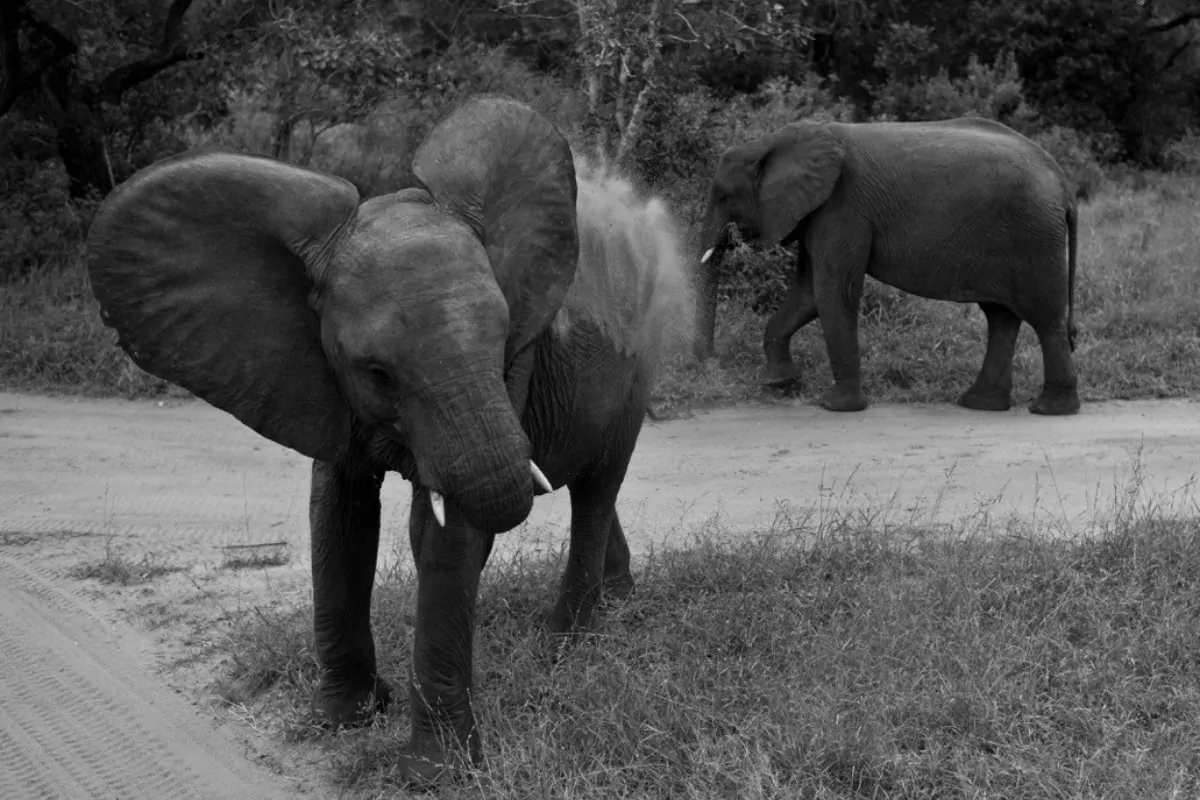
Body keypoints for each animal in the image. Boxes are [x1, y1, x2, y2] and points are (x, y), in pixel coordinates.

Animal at [84, 92, 691, 782]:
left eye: (502, 340)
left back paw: (568, 640)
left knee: (597, 485)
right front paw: (344, 719)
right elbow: (338, 513)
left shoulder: (513, 370)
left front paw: (435, 775)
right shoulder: (320, 378)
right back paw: (619, 597)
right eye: (375, 372)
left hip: (639, 362)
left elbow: (444, 533)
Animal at [691, 118, 1084, 419]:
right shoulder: (818, 213)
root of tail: (1063, 182)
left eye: (723, 196)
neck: (772, 142)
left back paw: (1050, 410)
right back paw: (980, 404)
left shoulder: (843, 208)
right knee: (1001, 318)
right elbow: (807, 294)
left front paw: (835, 407)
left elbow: (833, 292)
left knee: (1045, 320)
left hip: (1034, 235)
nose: (710, 364)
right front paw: (777, 382)